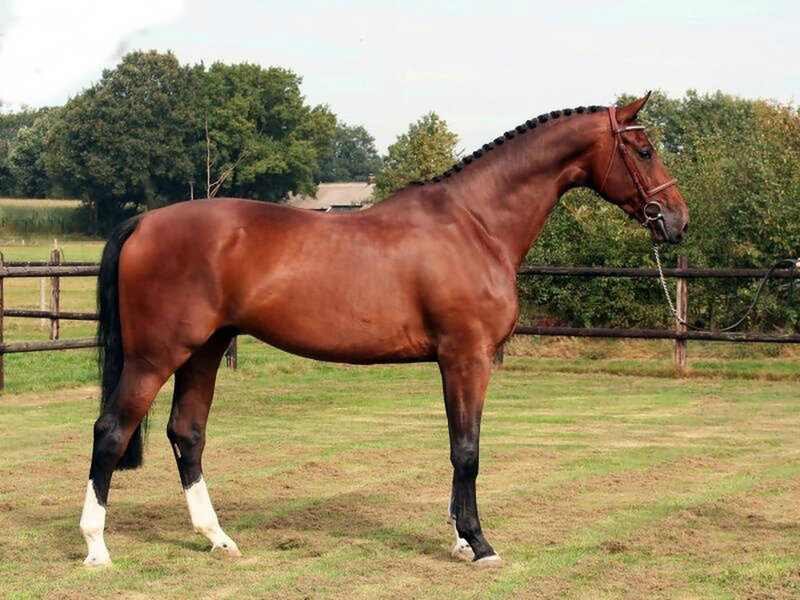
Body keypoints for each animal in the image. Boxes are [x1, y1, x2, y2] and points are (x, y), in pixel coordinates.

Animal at [79, 93, 689, 567]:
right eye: (644, 150)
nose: (678, 221)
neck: (475, 223)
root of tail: (145, 221)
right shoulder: (467, 356)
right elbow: (468, 449)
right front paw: (479, 543)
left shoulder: (456, 360)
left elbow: (456, 444)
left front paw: (459, 539)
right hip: (156, 356)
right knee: (110, 431)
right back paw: (96, 548)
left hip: (205, 350)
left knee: (187, 434)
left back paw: (218, 539)